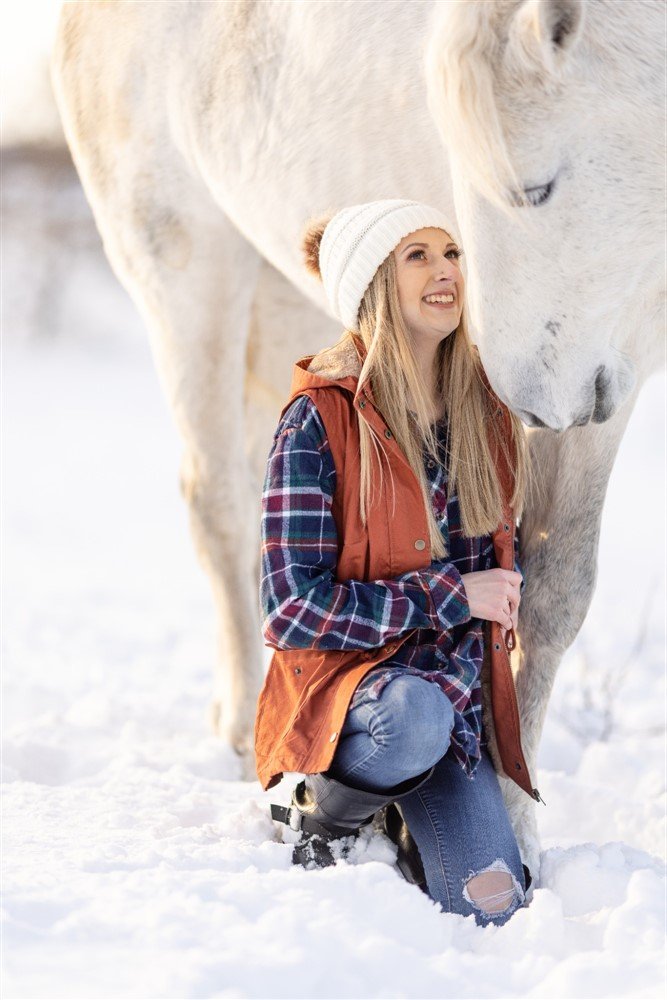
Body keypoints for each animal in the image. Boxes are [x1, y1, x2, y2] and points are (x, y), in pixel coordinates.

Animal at [51, 0, 664, 884]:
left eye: (535, 189)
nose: (528, 403)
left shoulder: (618, 358)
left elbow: (550, 596)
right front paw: (515, 830)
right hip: (183, 261)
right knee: (220, 506)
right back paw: (248, 745)